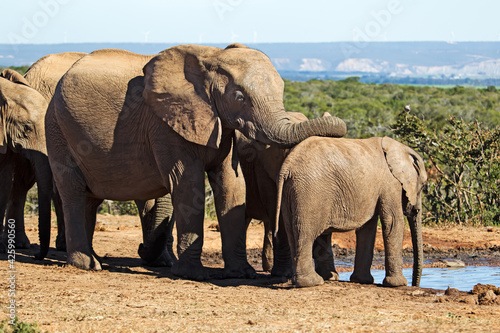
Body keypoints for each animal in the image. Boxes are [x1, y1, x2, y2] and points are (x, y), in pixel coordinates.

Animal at [47, 42, 348, 278]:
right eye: (239, 97)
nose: (331, 117)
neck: (212, 57)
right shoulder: (165, 125)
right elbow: (187, 183)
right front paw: (193, 274)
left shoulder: (221, 125)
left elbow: (232, 184)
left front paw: (242, 273)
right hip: (57, 129)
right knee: (74, 194)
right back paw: (87, 265)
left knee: (89, 199)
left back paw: (93, 259)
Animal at [276, 136, 428, 286]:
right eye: (423, 185)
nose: (414, 284)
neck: (400, 148)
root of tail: (287, 166)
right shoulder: (391, 183)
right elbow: (393, 222)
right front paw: (398, 284)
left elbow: (368, 227)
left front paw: (363, 281)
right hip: (310, 192)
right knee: (305, 233)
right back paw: (313, 282)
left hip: (290, 191)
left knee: (292, 232)